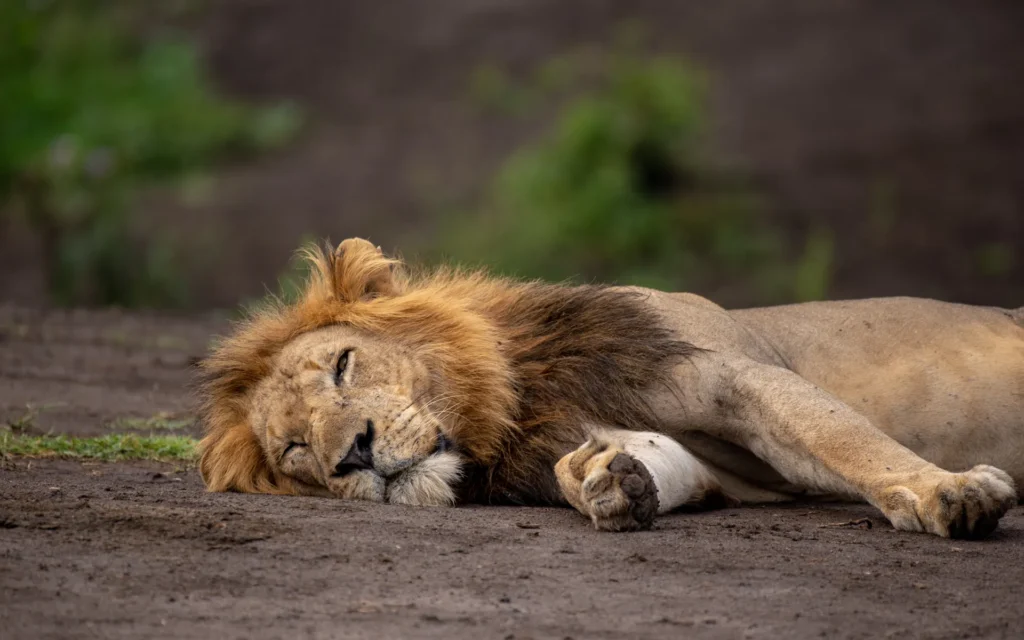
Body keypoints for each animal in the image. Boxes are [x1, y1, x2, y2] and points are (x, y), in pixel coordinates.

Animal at [197, 238, 1022, 538]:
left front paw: (948, 491)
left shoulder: (733, 374)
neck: (519, 402)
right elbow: (658, 463)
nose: (353, 455)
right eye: (295, 449)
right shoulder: (723, 474)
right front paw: (605, 478)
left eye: (343, 365)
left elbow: (839, 436)